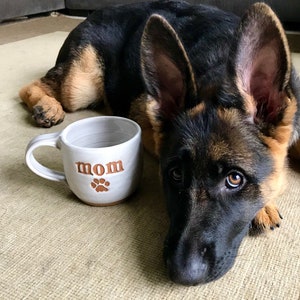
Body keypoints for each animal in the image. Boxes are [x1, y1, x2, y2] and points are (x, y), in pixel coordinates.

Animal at [19, 0, 300, 286]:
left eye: (234, 179)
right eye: (175, 174)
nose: (182, 274)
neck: (217, 70)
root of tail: (98, 12)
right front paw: (264, 206)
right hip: (78, 87)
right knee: (32, 86)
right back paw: (46, 106)